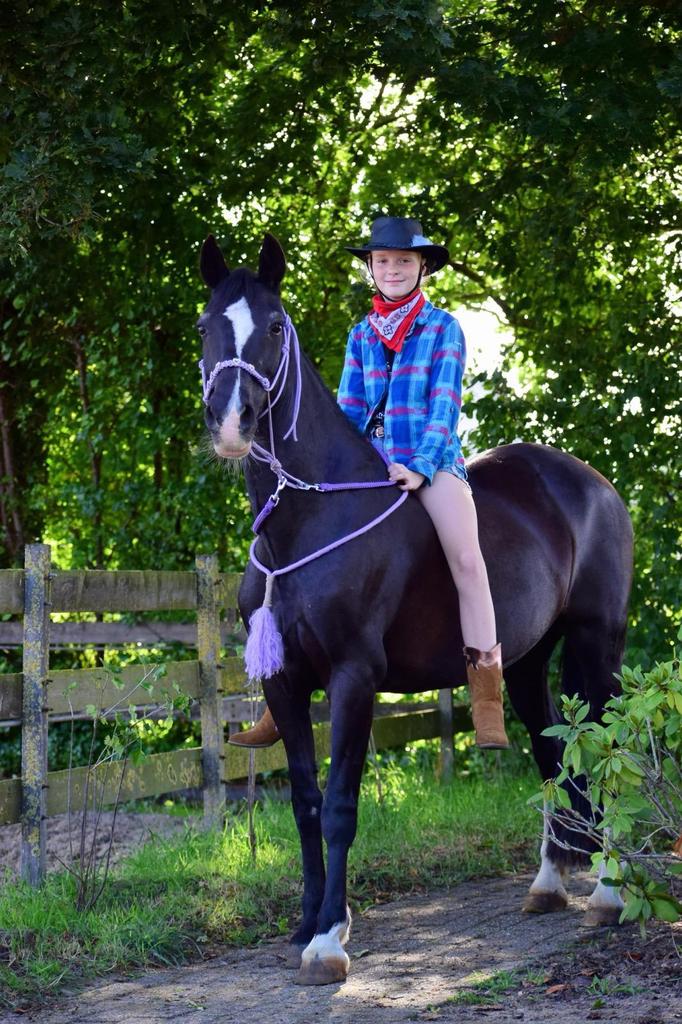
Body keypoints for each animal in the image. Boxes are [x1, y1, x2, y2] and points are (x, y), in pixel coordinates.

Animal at [196, 231, 633, 986]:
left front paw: (328, 942)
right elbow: (305, 803)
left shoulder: (353, 678)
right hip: (524, 663)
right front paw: (307, 922)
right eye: (204, 327)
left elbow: (340, 806)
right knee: (551, 755)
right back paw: (549, 884)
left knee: (600, 752)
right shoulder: (286, 683)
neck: (310, 516)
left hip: (595, 645)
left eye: (275, 327)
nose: (231, 423)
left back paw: (607, 892)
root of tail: (593, 485)